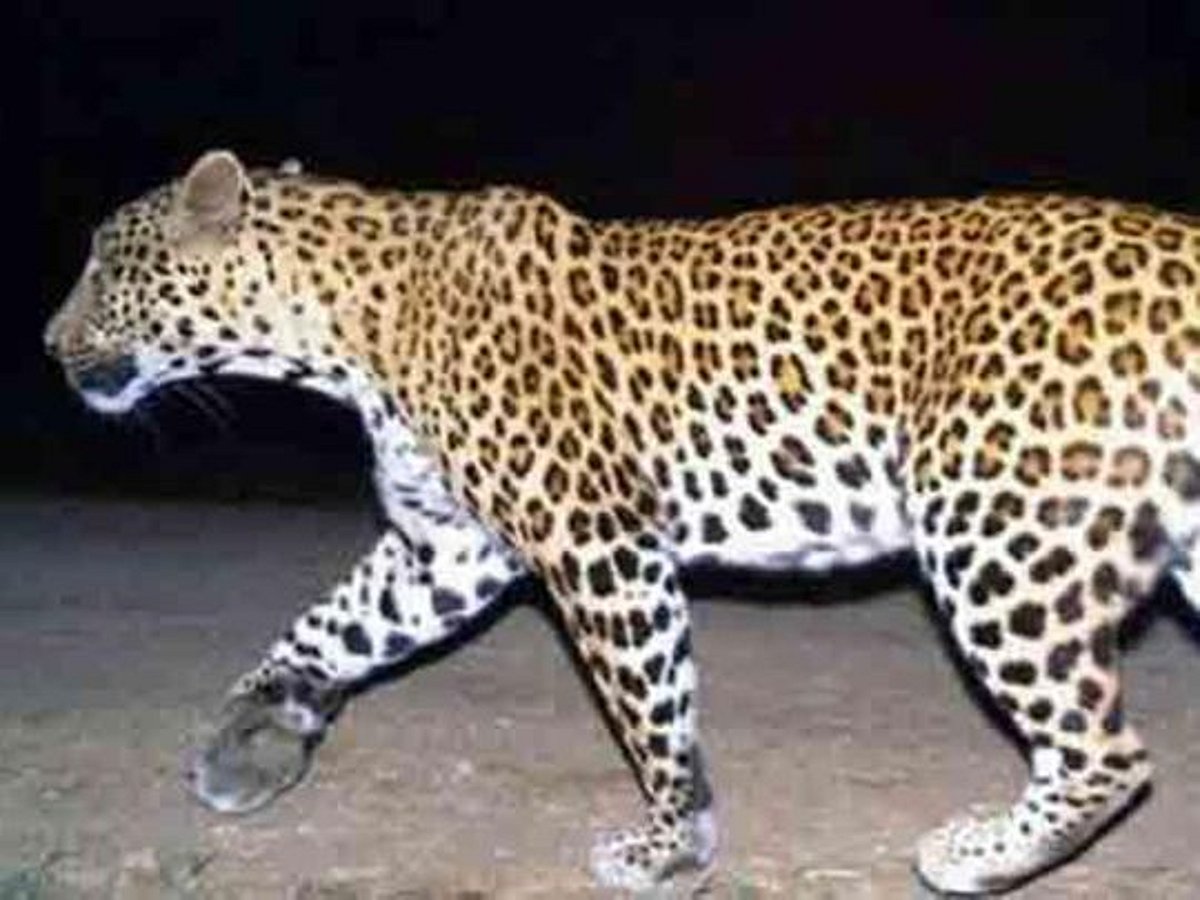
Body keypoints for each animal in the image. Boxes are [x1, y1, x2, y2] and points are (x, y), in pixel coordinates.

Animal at [44, 150, 1200, 894]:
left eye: (105, 266)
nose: (51, 342)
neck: (344, 331)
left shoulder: (594, 540)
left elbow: (652, 708)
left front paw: (671, 850)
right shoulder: (449, 546)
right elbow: (333, 621)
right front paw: (254, 732)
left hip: (992, 524)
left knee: (1105, 748)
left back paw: (982, 854)